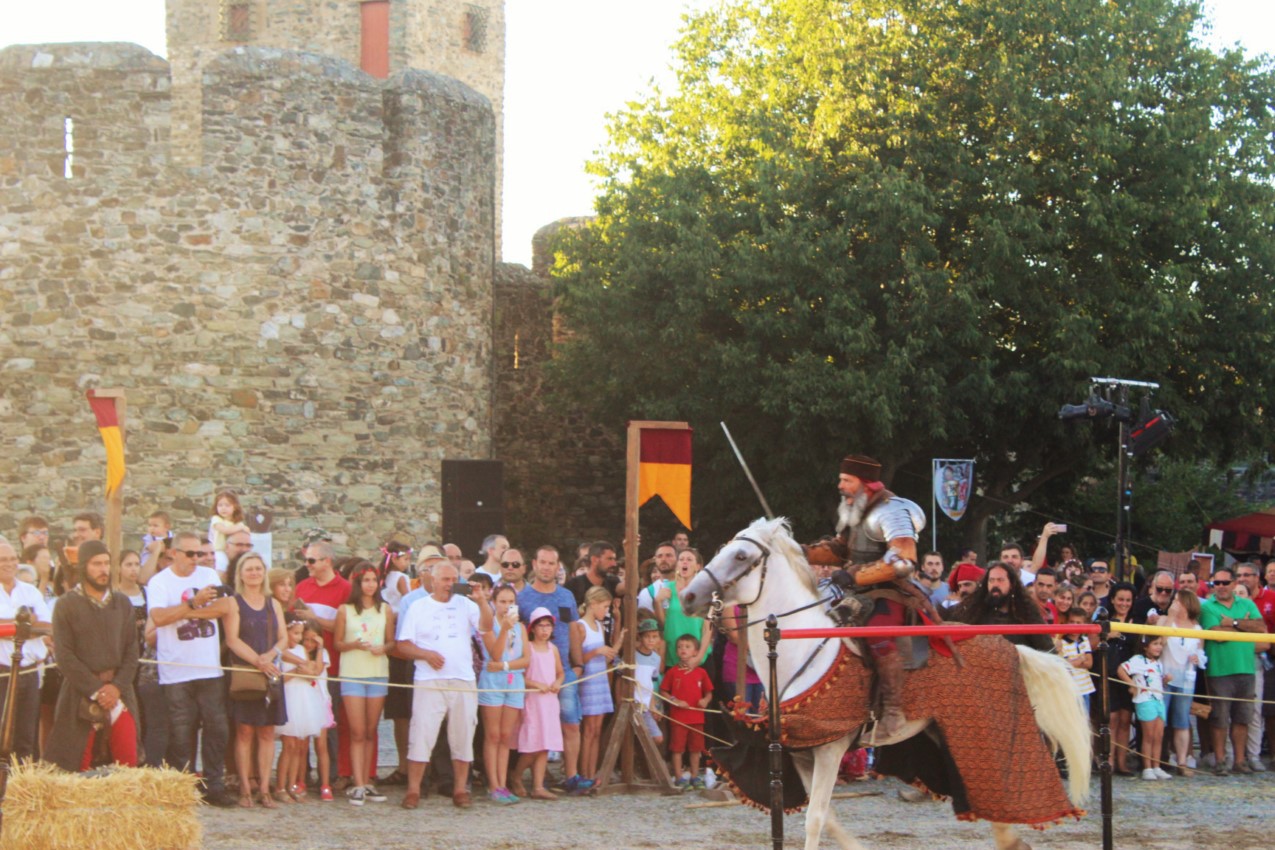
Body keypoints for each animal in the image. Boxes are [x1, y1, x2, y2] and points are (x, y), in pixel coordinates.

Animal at [683, 519, 1091, 850]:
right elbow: (827, 817)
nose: (689, 596)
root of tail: (1012, 647)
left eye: (740, 556)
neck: (802, 648)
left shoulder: (831, 749)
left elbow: (815, 819)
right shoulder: (802, 752)